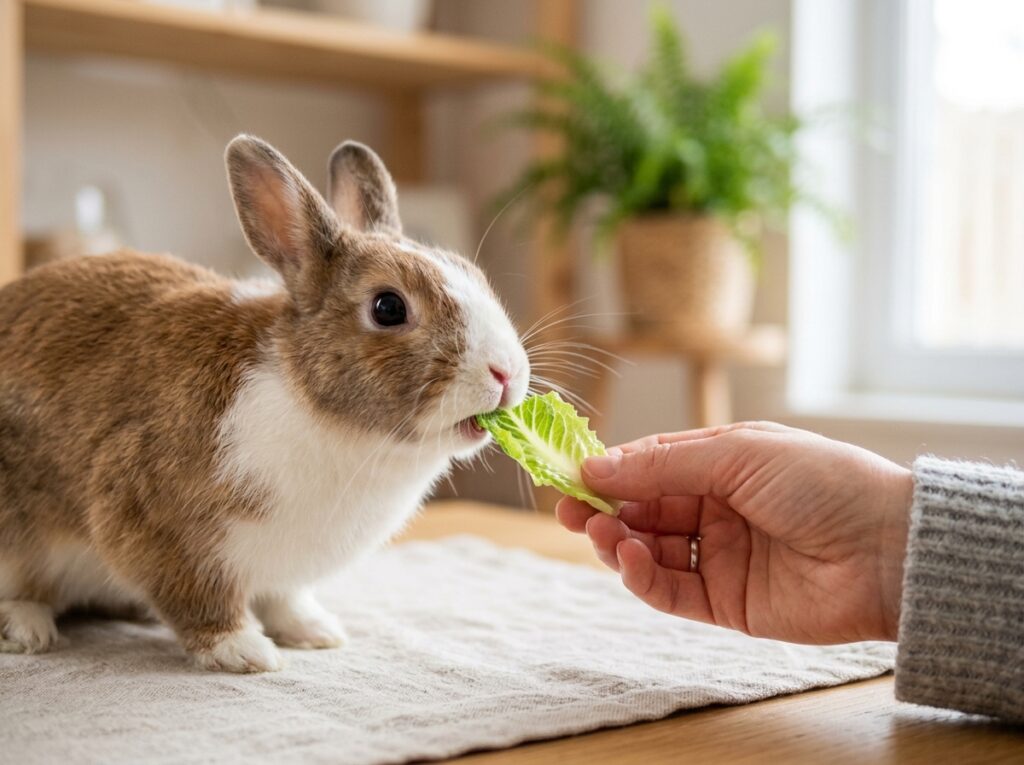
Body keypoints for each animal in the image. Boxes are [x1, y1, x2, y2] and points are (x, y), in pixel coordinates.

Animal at [0, 135, 530, 672]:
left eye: (474, 274)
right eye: (388, 307)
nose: (506, 373)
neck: (315, 407)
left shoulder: (281, 570)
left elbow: (283, 599)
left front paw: (315, 632)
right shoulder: (152, 522)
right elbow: (198, 599)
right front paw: (244, 651)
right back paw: (27, 629)